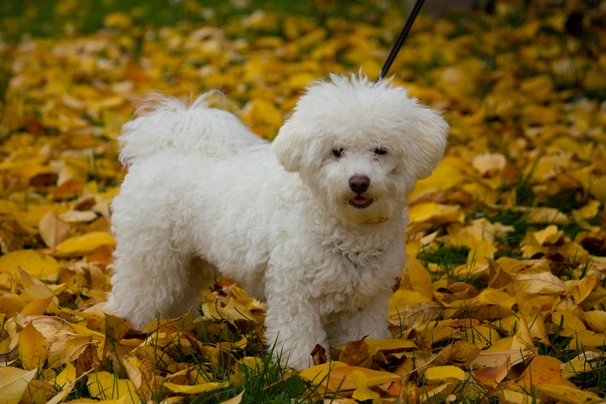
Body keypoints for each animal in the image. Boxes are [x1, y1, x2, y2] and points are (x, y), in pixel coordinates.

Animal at [105, 73, 446, 370]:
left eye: (381, 150)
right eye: (336, 151)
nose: (358, 182)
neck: (343, 226)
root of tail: (161, 151)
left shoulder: (367, 299)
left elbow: (364, 336)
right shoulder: (295, 293)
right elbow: (299, 341)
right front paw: (301, 372)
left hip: (188, 264)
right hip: (149, 258)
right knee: (135, 297)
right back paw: (121, 333)